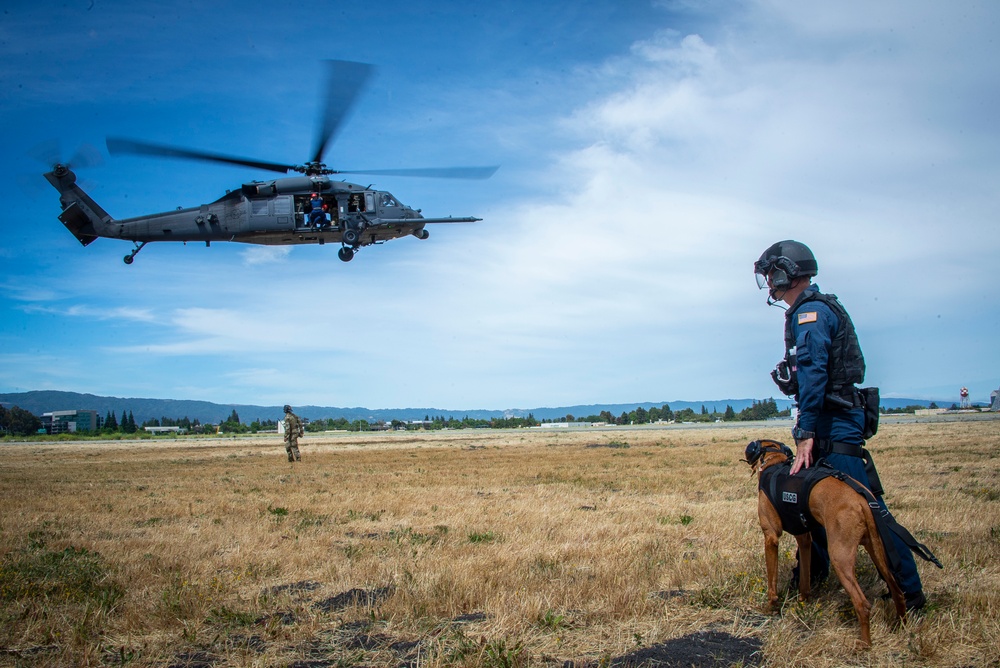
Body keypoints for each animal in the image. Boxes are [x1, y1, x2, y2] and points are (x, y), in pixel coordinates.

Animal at [748, 438, 912, 648]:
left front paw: (771, 606)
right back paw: (901, 627)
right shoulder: (804, 539)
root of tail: (863, 502)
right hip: (879, 553)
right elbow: (805, 580)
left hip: (840, 557)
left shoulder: (771, 537)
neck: (774, 463)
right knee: (898, 591)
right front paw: (803, 601)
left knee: (862, 604)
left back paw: (864, 645)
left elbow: (772, 582)